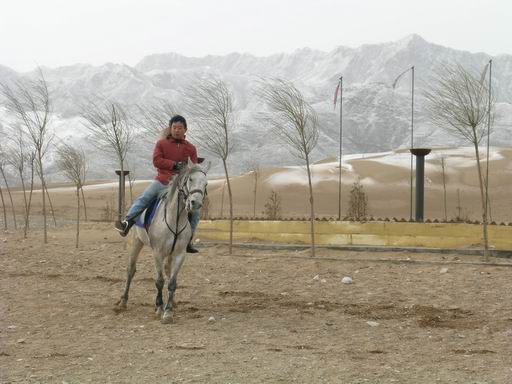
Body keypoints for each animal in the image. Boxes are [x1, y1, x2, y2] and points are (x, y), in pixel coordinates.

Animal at [117, 159, 209, 324]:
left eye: (206, 183)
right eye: (190, 179)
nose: (195, 203)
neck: (175, 218)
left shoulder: (179, 254)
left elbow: (172, 282)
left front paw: (168, 311)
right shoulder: (158, 253)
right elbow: (159, 281)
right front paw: (159, 308)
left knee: (167, 272)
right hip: (135, 244)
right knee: (130, 271)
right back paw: (123, 302)